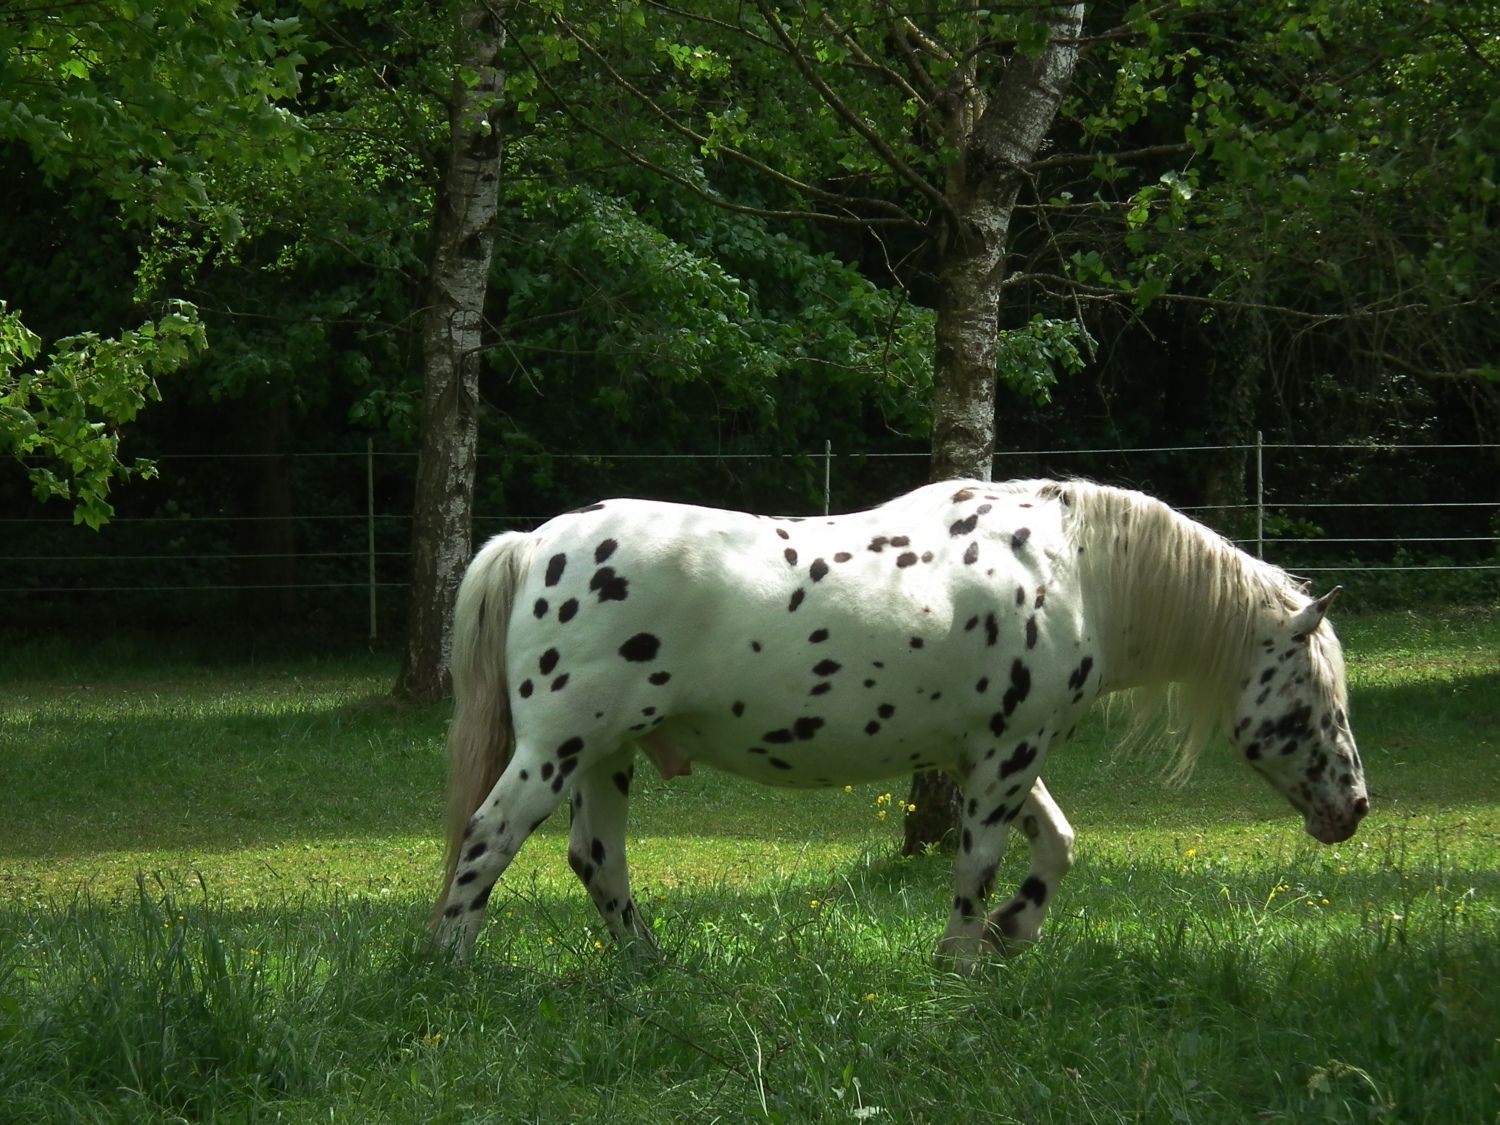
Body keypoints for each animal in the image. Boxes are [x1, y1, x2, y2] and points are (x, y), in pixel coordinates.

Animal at [430, 479, 1369, 971]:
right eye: (1317, 701)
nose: (1352, 808)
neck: (1074, 569)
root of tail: (538, 540)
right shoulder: (1006, 756)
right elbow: (980, 863)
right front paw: (964, 957)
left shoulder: (991, 755)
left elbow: (1056, 845)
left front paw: (1012, 932)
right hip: (558, 750)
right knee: (489, 836)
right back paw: (451, 969)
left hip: (605, 756)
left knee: (597, 861)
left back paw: (651, 966)